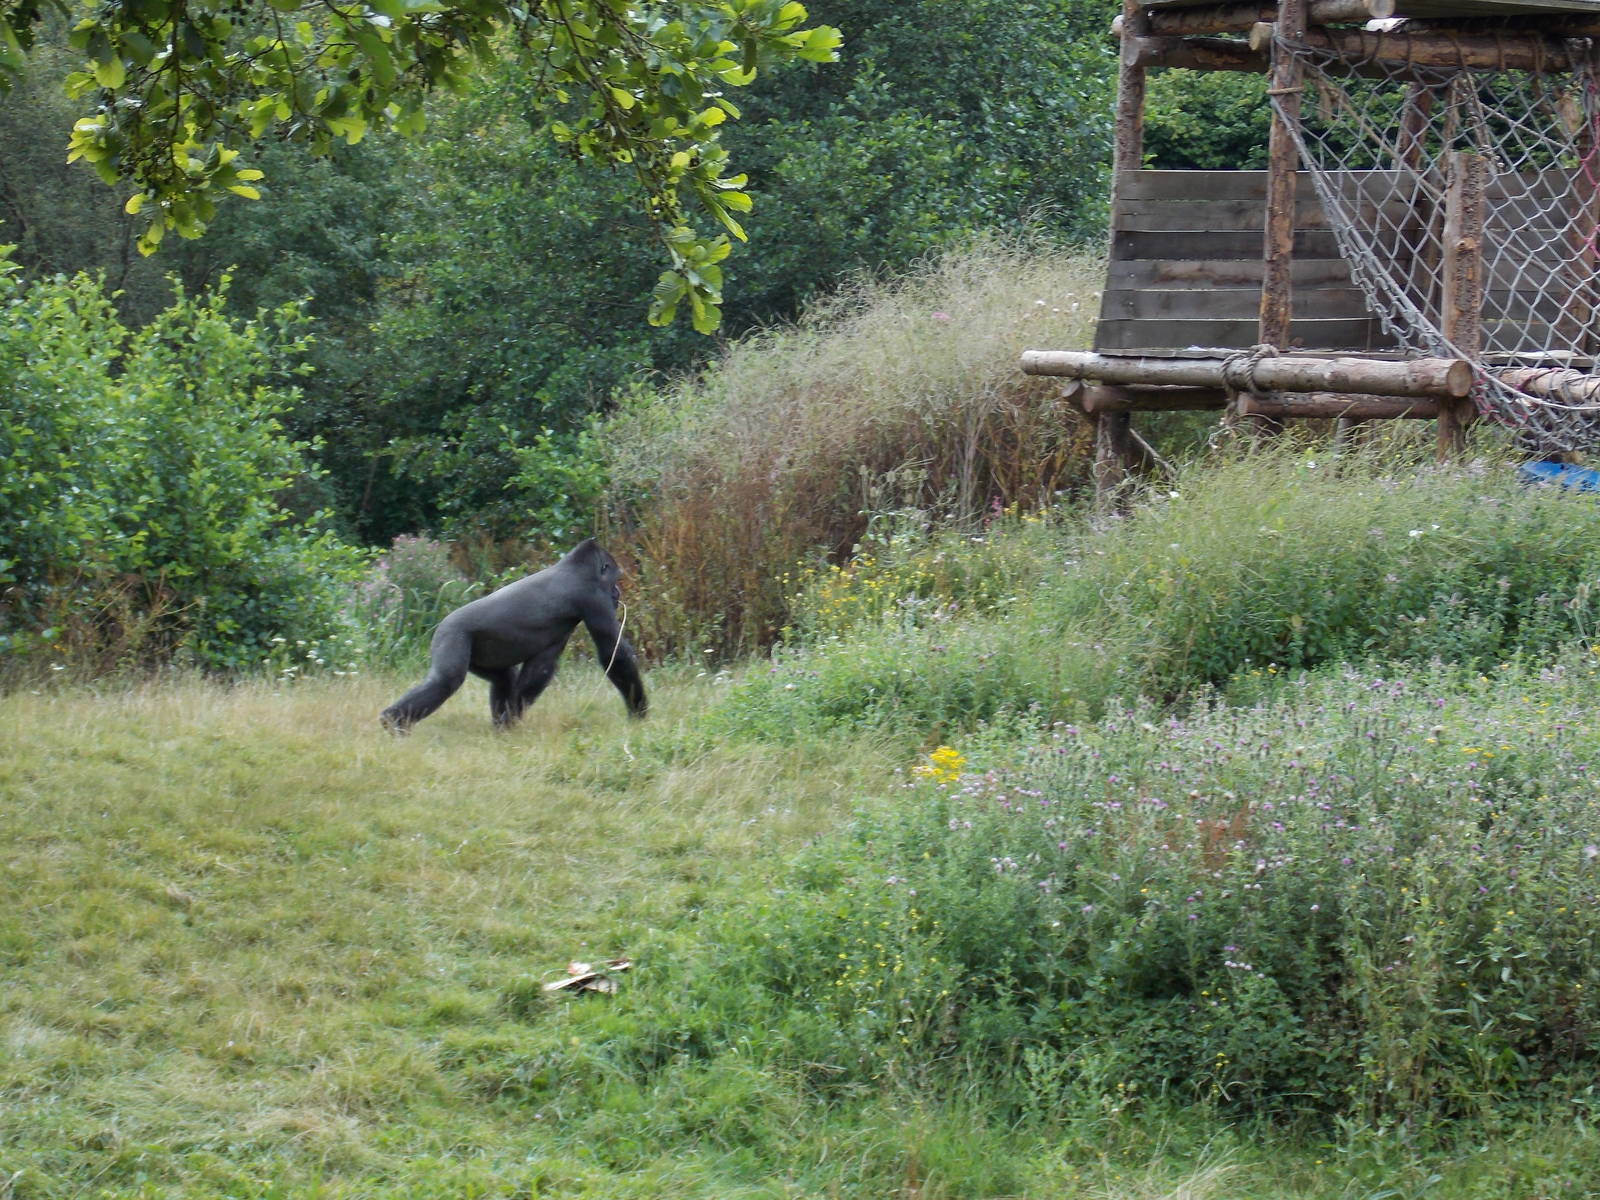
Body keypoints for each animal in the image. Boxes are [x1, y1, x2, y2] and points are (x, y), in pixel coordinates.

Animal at [380, 538, 646, 732]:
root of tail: (441, 623)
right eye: (615, 577)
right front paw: (639, 711)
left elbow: (539, 669)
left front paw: (512, 720)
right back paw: (392, 721)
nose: (617, 592)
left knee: (503, 678)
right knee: (445, 681)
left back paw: (500, 726)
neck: (575, 566)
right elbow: (614, 653)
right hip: (452, 633)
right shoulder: (592, 597)